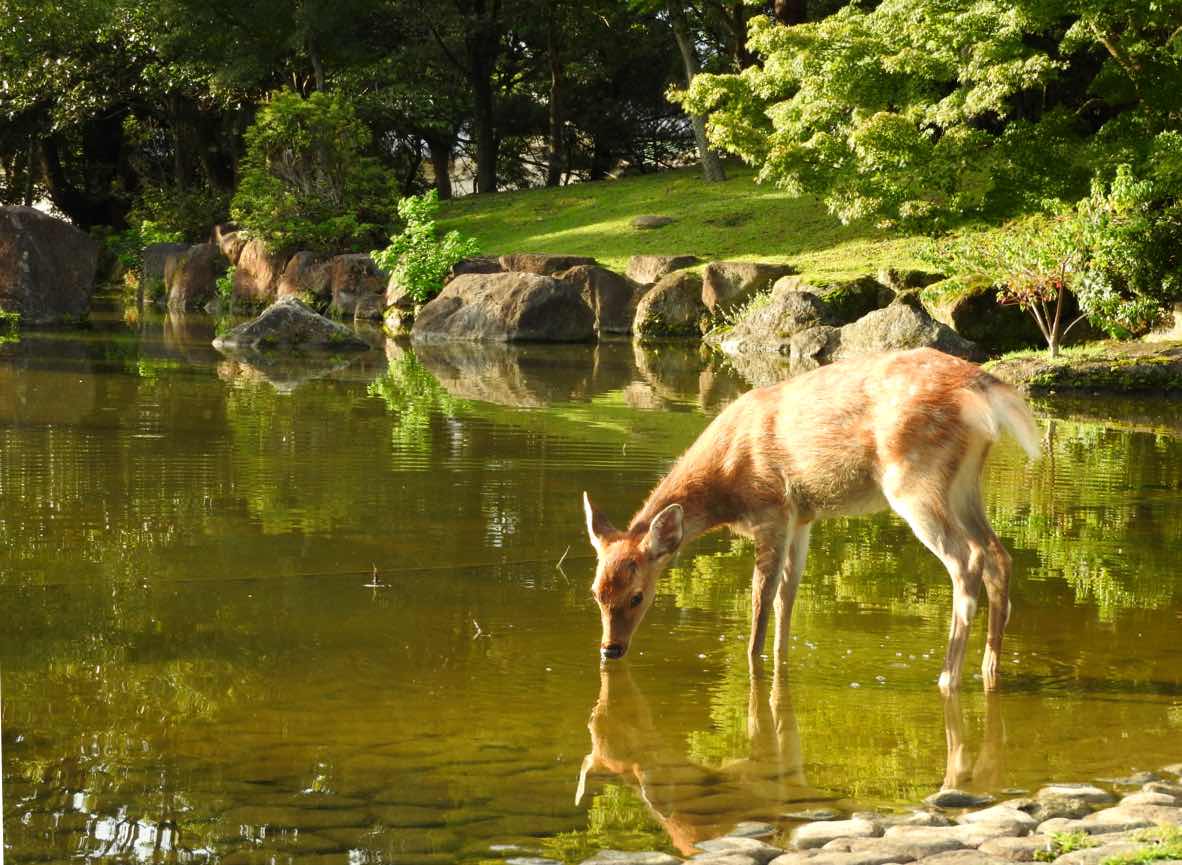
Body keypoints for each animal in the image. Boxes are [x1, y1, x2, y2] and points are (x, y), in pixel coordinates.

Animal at [581, 347, 1035, 694]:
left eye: (637, 595)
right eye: (596, 593)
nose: (609, 650)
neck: (724, 482)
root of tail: (980, 387)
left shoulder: (771, 511)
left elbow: (761, 598)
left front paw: (754, 661)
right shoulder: (802, 518)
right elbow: (788, 596)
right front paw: (781, 662)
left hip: (914, 479)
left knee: (966, 559)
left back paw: (947, 678)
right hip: (964, 482)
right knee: (998, 554)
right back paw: (990, 671)